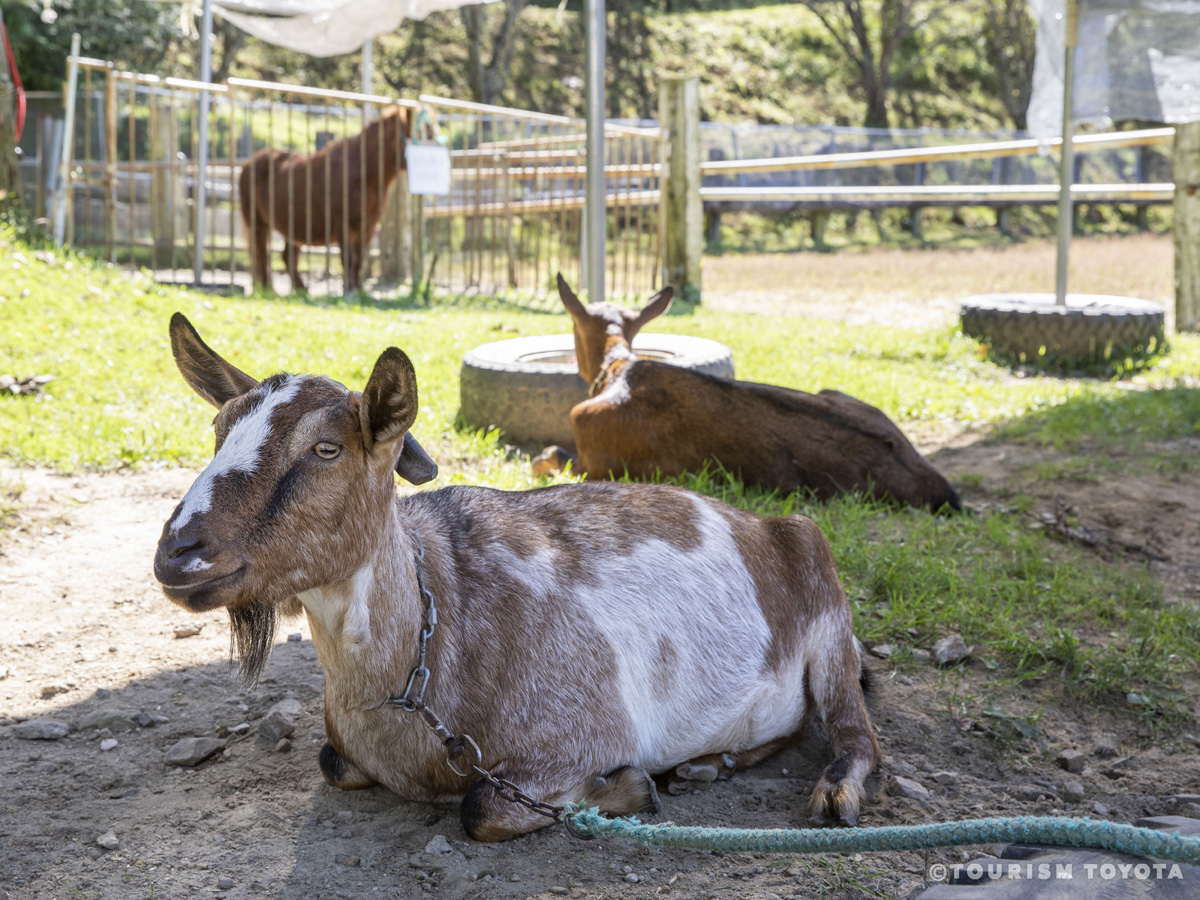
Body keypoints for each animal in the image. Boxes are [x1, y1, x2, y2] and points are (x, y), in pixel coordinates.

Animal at [154, 314, 878, 844]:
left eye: (325, 448)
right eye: (218, 430)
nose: (177, 554)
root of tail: (766, 523)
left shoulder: (577, 735)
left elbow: (481, 807)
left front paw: (625, 788)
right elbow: (331, 762)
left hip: (830, 619)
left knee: (852, 729)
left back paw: (832, 791)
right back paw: (712, 761)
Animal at [236, 107, 415, 294]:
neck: (362, 174)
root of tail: (247, 164)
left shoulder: (368, 227)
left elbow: (359, 259)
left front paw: (359, 289)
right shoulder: (343, 224)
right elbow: (348, 258)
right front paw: (349, 290)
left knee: (287, 257)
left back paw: (301, 288)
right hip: (258, 224)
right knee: (262, 254)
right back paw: (267, 289)